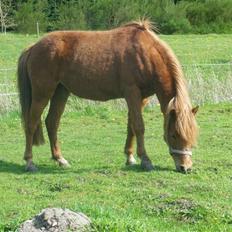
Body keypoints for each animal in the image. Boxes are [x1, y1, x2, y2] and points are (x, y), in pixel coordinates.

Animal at [17, 20, 198, 172]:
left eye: (192, 136)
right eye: (174, 135)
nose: (185, 167)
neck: (145, 53)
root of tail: (34, 47)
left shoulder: (142, 98)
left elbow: (131, 126)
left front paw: (130, 157)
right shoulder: (132, 93)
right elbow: (139, 126)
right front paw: (145, 160)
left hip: (61, 91)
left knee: (52, 122)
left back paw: (60, 159)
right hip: (42, 93)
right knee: (31, 124)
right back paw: (30, 162)